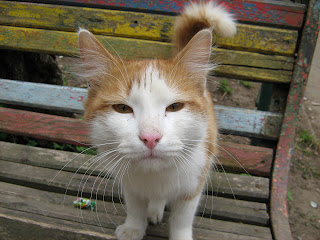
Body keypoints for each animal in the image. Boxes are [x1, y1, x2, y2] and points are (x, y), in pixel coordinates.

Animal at [79, 2, 236, 240]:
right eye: (122, 108)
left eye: (174, 107)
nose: (150, 137)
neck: (154, 176)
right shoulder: (130, 184)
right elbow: (134, 205)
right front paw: (134, 227)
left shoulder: (193, 183)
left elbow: (182, 218)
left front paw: (180, 235)